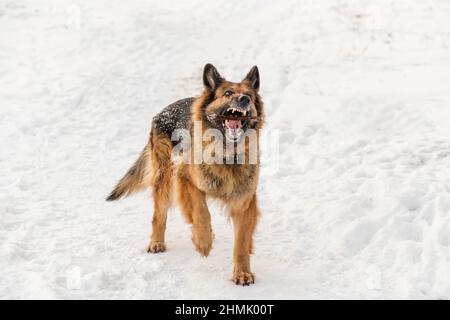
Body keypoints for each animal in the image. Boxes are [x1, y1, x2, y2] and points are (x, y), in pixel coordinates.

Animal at [106, 64, 264, 284]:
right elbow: (200, 211)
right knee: (159, 214)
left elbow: (241, 242)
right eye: (228, 93)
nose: (244, 100)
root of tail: (162, 111)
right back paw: (157, 242)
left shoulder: (244, 201)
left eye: (249, 95)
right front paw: (203, 240)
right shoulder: (185, 179)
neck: (225, 154)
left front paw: (242, 272)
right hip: (165, 177)